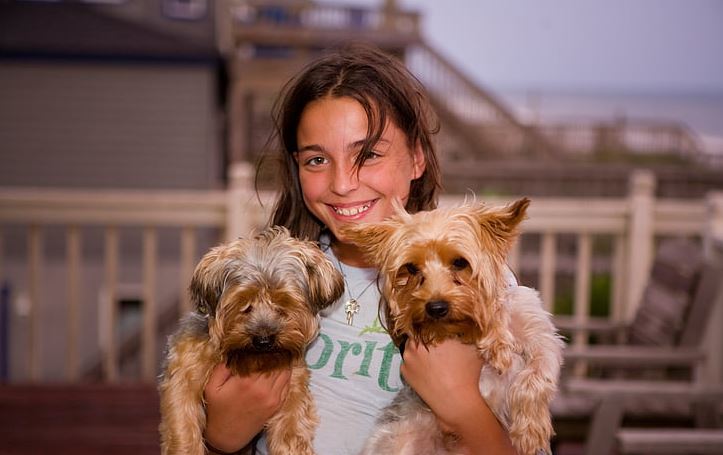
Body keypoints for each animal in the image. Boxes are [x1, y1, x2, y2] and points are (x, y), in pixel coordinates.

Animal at [160, 228, 346, 455]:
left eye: (283, 304)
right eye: (244, 305)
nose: (263, 340)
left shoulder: (293, 385)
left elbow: (291, 430)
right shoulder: (184, 375)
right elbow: (183, 425)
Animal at [344, 200, 564, 455]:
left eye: (460, 263)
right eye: (411, 268)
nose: (436, 307)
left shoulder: (540, 336)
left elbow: (535, 379)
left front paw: (530, 432)